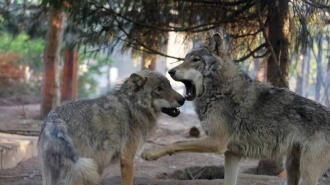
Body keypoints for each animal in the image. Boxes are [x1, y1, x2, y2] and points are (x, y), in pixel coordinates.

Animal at [38, 69, 186, 185]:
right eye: (159, 89)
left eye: (170, 86)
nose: (183, 100)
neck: (133, 105)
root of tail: (54, 119)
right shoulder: (127, 160)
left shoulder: (99, 166)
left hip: (53, 175)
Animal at [141, 33, 330, 185]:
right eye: (185, 59)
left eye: (195, 60)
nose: (171, 71)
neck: (220, 91)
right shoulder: (232, 153)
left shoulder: (217, 142)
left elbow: (177, 143)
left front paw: (150, 153)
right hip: (291, 167)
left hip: (306, 172)